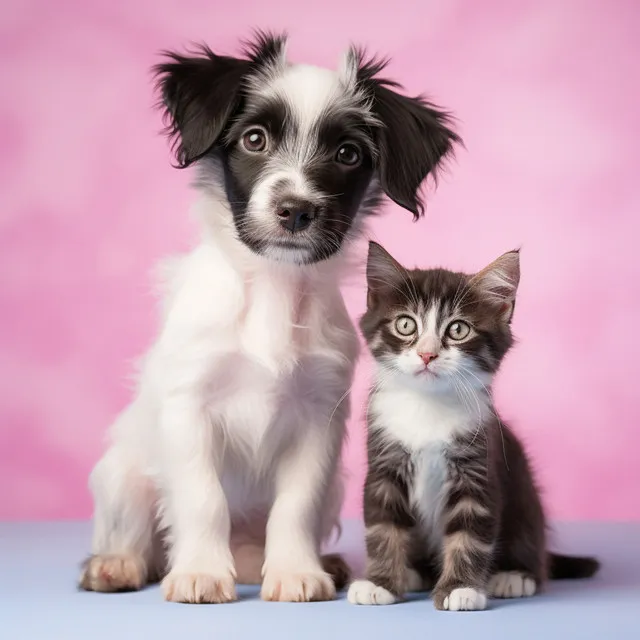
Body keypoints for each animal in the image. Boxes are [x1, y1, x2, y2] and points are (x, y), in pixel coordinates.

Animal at [79, 32, 460, 604]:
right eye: (254, 139)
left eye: (348, 154)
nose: (296, 210)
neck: (273, 289)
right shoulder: (189, 406)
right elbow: (203, 498)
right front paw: (200, 572)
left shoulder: (319, 420)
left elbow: (294, 506)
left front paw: (296, 571)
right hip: (121, 472)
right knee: (139, 534)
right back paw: (117, 564)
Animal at [348, 241, 596, 608]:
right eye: (406, 325)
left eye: (458, 329)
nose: (427, 354)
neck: (428, 405)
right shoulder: (384, 464)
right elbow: (384, 527)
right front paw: (380, 582)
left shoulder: (479, 467)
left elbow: (469, 534)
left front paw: (461, 588)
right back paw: (414, 572)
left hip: (524, 495)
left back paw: (514, 576)